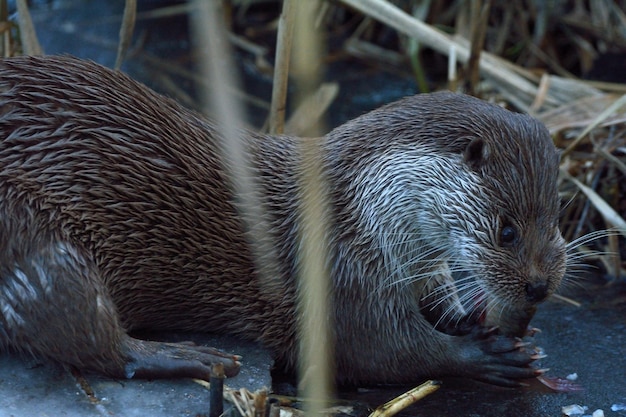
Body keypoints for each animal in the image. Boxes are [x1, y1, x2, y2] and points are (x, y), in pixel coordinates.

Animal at [0, 55, 564, 386]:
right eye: (507, 230)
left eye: (558, 219)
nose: (539, 287)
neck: (355, 207)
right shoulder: (335, 270)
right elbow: (381, 353)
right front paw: (487, 356)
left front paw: (471, 318)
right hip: (30, 230)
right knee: (82, 331)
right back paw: (192, 357)